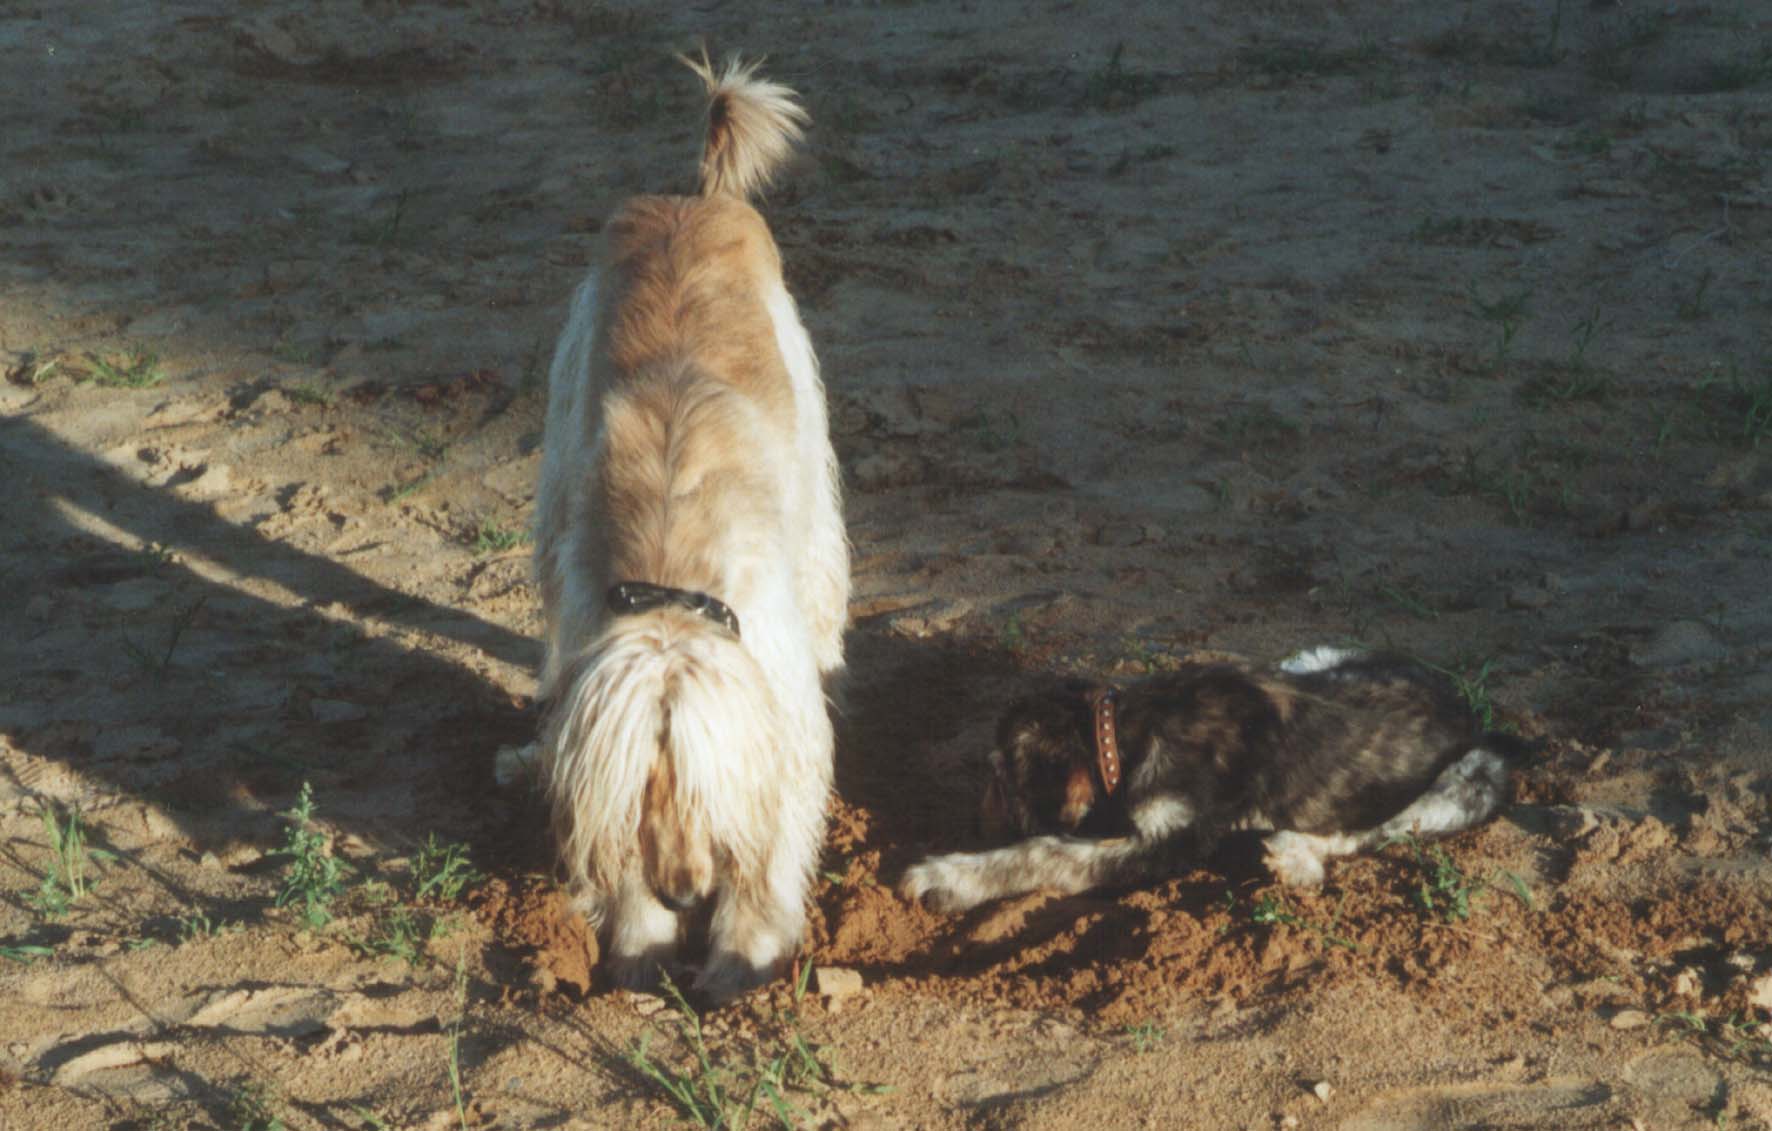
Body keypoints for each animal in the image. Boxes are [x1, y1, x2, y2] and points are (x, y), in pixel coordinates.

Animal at [531, 57, 843, 1006]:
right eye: (644, 795)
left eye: (703, 794)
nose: (681, 892)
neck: (669, 579)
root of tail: (691, 200)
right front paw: (640, 942)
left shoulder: (777, 710)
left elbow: (771, 849)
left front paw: (740, 954)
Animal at [900, 645, 1523, 914]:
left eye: (997, 779)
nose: (972, 824)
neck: (1129, 731)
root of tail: (1467, 709)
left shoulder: (1173, 839)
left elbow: (1049, 851)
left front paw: (948, 877)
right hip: (1317, 656)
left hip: (1473, 781)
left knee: (1368, 831)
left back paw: (1294, 856)